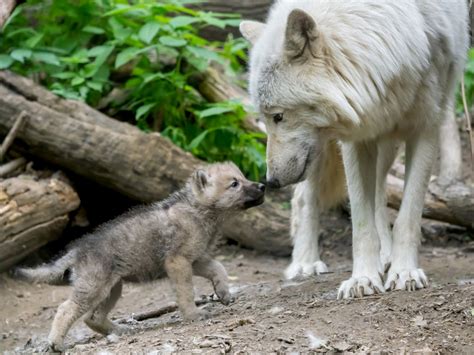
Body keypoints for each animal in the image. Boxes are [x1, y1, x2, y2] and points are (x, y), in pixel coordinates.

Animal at [241, 0, 466, 298]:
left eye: (278, 116)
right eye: (265, 119)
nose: (271, 181)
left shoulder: (426, 125)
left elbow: (408, 215)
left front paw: (404, 272)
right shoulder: (356, 135)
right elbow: (360, 220)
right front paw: (362, 279)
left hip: (387, 141)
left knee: (381, 193)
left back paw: (386, 255)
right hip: (321, 152)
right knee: (304, 198)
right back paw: (305, 263)